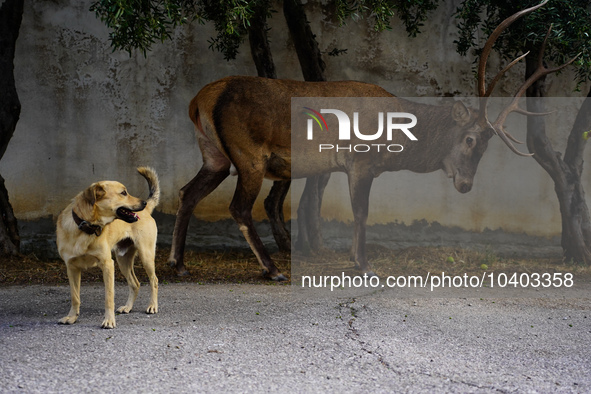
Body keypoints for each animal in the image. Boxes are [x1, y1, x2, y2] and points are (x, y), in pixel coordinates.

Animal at [55, 167, 161, 330]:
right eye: (123, 193)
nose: (143, 202)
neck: (86, 229)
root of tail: (147, 209)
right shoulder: (71, 268)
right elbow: (75, 297)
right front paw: (71, 317)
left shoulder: (107, 265)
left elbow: (109, 297)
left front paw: (109, 321)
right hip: (123, 261)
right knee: (135, 284)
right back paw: (128, 307)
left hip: (146, 256)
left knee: (154, 280)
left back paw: (152, 306)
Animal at [168, 2, 572, 280]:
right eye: (471, 139)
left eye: (488, 146)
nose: (465, 184)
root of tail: (197, 101)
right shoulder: (360, 161)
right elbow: (360, 212)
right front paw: (363, 264)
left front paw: (356, 260)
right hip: (248, 154)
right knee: (238, 207)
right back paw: (273, 269)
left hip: (214, 154)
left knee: (187, 192)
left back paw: (178, 263)